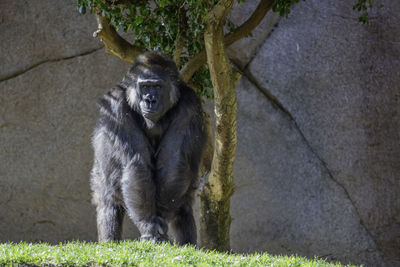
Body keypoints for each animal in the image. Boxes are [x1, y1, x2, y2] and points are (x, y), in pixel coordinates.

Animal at [90, 51, 206, 246]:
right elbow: (136, 162)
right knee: (109, 201)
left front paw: (157, 222)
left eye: (157, 86)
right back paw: (109, 241)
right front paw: (149, 225)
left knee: (182, 208)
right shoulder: (116, 104)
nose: (150, 99)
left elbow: (173, 160)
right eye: (145, 86)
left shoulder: (189, 105)